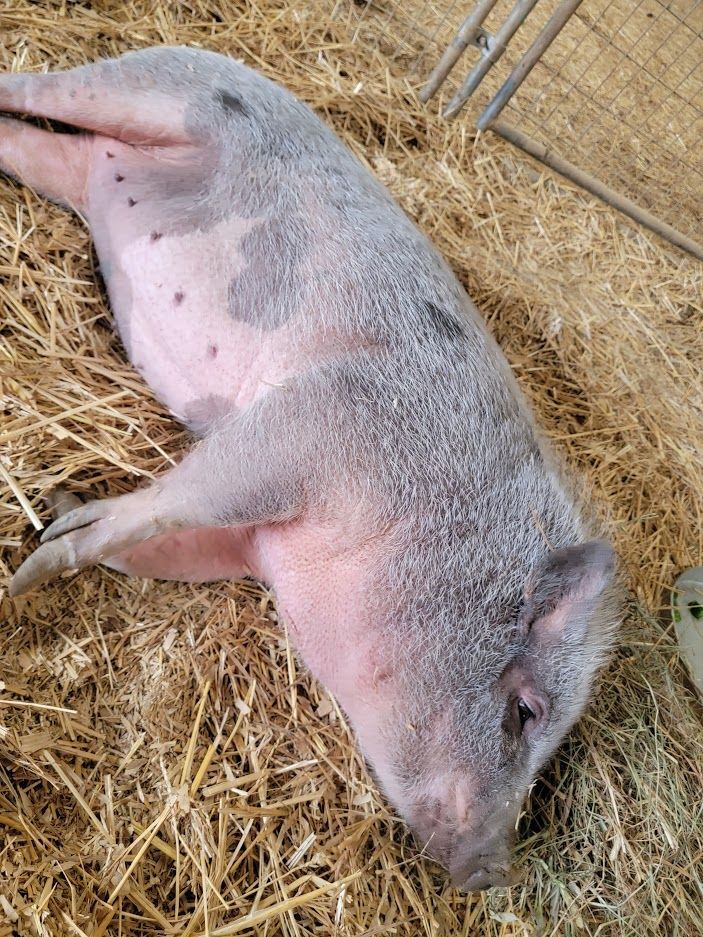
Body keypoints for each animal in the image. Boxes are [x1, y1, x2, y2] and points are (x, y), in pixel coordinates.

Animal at [1, 46, 620, 890]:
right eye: (525, 710)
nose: (493, 872)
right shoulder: (319, 421)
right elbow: (173, 500)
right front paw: (28, 572)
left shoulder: (249, 543)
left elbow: (161, 542)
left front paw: (60, 506)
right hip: (151, 88)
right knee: (38, 87)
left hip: (78, 166)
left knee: (35, 146)